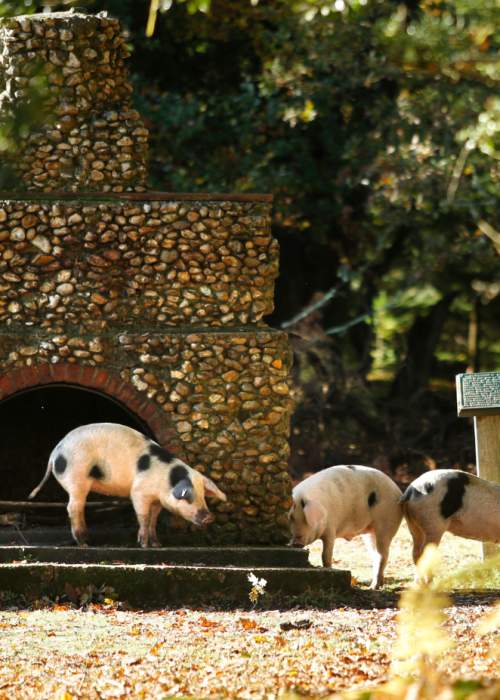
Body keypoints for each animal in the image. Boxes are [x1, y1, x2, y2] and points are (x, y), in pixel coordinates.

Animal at [28, 422, 228, 548]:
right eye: (188, 496)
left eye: (203, 495)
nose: (209, 517)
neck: (165, 479)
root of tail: (55, 452)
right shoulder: (139, 493)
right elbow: (143, 517)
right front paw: (144, 545)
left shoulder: (157, 501)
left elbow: (153, 519)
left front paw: (158, 544)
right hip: (76, 478)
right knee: (73, 507)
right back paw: (83, 543)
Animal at [290, 464, 402, 592]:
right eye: (290, 518)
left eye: (301, 517)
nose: (296, 543)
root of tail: (398, 492)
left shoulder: (331, 528)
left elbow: (326, 554)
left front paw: (328, 568)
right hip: (369, 532)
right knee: (375, 554)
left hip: (386, 524)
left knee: (382, 555)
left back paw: (373, 587)